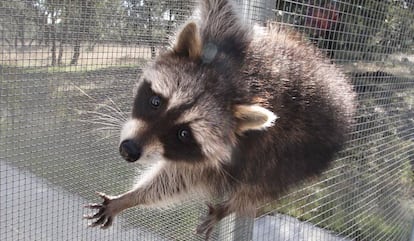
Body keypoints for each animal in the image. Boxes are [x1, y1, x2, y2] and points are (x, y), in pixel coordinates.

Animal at [85, 0, 356, 238]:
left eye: (183, 134)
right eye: (156, 102)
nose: (129, 150)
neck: (238, 83)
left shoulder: (229, 151)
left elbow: (180, 178)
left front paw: (133, 197)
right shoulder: (226, 37)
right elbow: (221, 8)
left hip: (293, 160)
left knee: (258, 188)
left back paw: (230, 206)